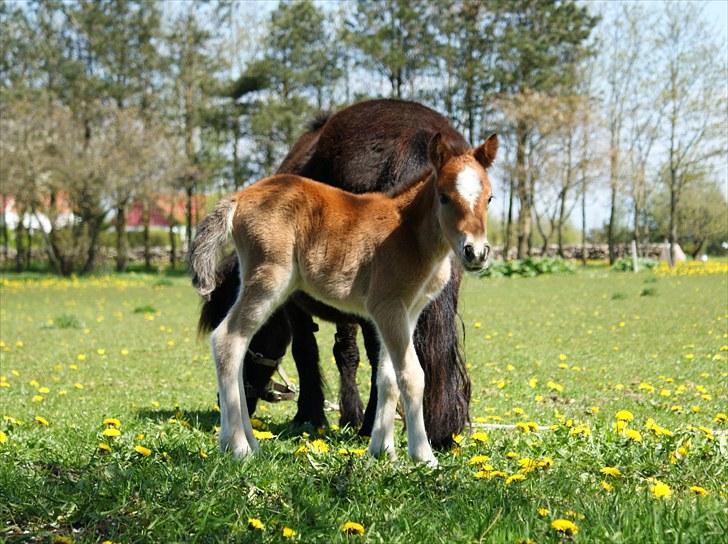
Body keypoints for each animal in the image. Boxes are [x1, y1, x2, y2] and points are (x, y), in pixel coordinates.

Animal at [191, 133, 498, 464]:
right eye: (444, 197)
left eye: (490, 198)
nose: (475, 253)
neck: (410, 235)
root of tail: (238, 198)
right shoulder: (388, 307)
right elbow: (411, 375)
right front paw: (423, 455)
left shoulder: (408, 312)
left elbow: (387, 377)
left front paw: (382, 450)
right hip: (269, 281)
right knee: (227, 340)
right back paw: (238, 447)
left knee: (239, 345)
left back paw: (244, 443)